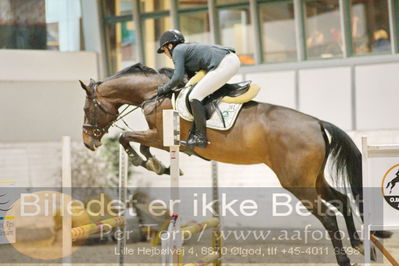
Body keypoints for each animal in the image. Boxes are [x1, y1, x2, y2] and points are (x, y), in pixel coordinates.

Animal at [81, 62, 368, 264]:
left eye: (86, 109)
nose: (87, 142)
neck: (154, 94)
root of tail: (317, 122)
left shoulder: (162, 138)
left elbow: (127, 138)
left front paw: (145, 161)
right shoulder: (160, 139)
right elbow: (138, 143)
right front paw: (157, 166)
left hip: (296, 182)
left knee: (328, 216)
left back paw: (344, 259)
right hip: (314, 178)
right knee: (342, 200)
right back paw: (359, 243)